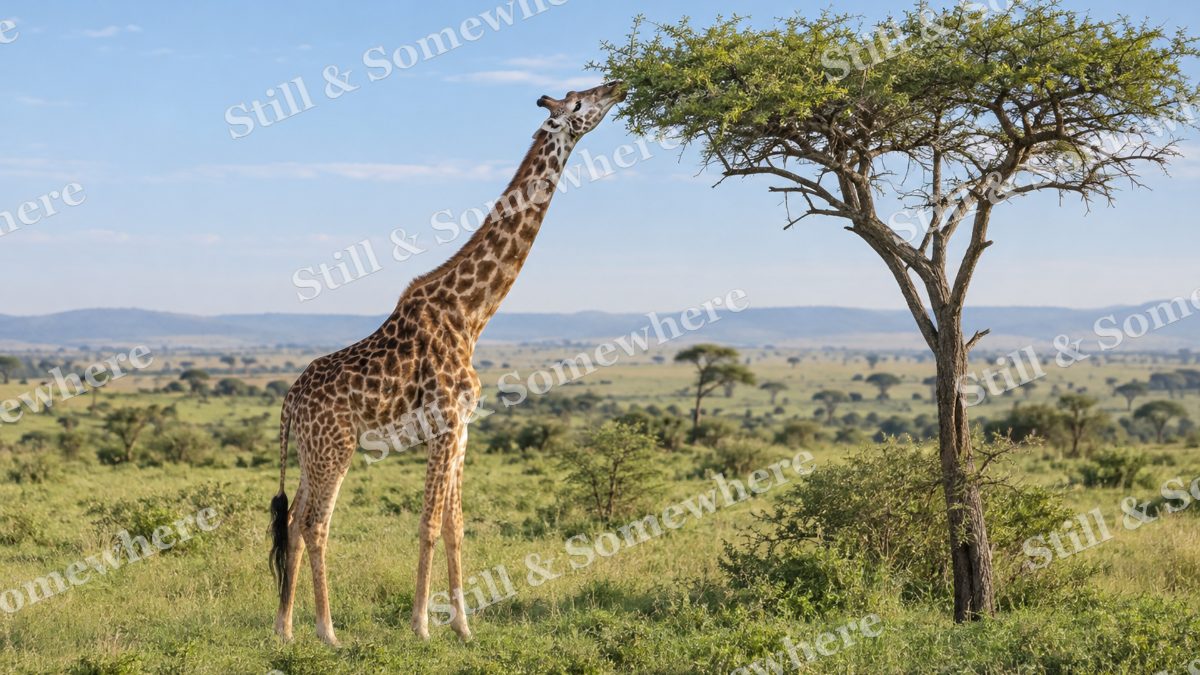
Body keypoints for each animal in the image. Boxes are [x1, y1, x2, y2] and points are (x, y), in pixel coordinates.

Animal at [269, 81, 626, 646]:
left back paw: (284, 628)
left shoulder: (463, 428)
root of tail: (288, 402)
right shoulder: (444, 424)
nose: (616, 86)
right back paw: (327, 631)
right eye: (578, 104)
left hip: (309, 451)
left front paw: (463, 626)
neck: (471, 314)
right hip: (336, 448)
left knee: (295, 521)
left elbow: (457, 527)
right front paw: (421, 625)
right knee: (315, 524)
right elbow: (430, 524)